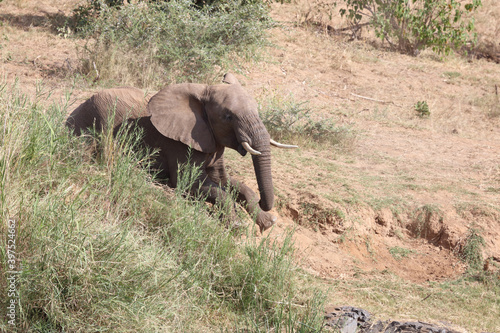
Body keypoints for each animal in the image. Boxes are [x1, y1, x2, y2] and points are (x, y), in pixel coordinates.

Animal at [64, 73, 294, 231]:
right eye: (228, 117)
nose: (265, 204)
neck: (202, 92)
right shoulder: (179, 144)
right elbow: (192, 184)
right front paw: (235, 224)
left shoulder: (212, 142)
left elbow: (227, 182)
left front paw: (268, 223)